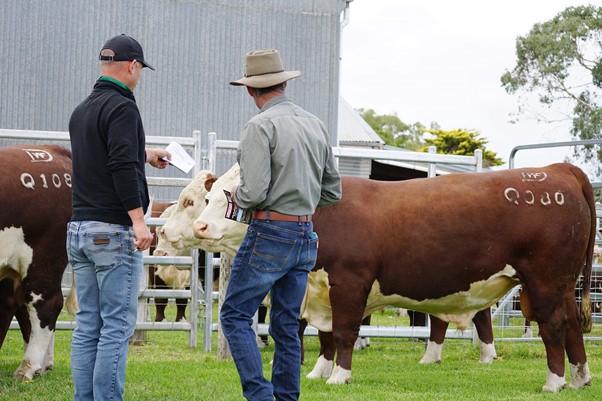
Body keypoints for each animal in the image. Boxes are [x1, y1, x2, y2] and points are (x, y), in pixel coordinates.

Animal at [191, 162, 592, 390]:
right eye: (208, 198)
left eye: (232, 197)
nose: (199, 227)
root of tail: (557, 168)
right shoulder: (320, 287)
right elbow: (325, 336)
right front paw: (318, 373)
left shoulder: (349, 281)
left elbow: (344, 332)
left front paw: (340, 376)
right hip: (563, 283)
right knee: (573, 324)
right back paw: (580, 378)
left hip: (544, 279)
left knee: (554, 326)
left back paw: (554, 382)